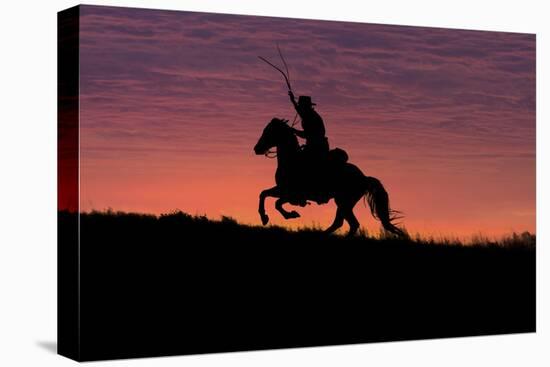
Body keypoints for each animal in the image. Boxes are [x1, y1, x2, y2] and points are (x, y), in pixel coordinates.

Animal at [254, 118, 406, 239]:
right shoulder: (282, 189)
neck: (292, 160)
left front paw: (291, 214)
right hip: (343, 203)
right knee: (348, 223)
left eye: (269, 131)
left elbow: (277, 203)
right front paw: (264, 217)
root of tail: (364, 177)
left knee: (347, 223)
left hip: (344, 202)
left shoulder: (293, 194)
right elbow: (263, 194)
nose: (257, 148)